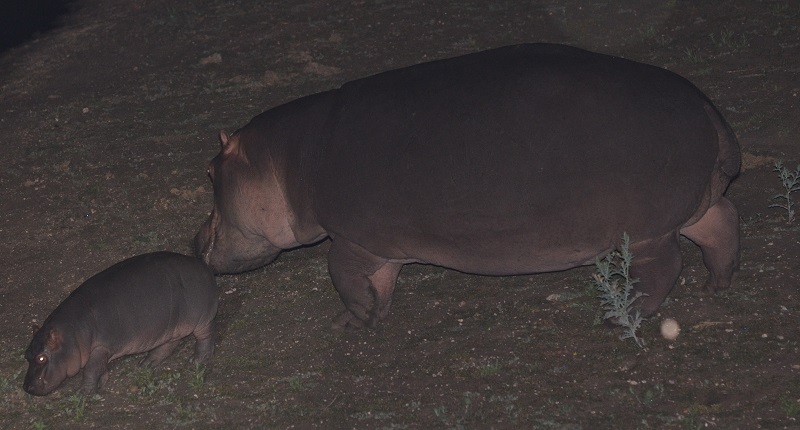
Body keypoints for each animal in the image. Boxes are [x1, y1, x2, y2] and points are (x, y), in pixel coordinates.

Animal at [23, 252, 217, 396]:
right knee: (169, 344)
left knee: (205, 337)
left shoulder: (101, 347)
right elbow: (100, 369)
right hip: (172, 326)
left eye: (42, 358)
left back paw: (196, 360)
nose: (27, 388)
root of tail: (203, 265)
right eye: (26, 354)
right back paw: (146, 364)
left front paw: (83, 392)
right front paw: (102, 382)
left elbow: (90, 370)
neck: (71, 333)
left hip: (200, 320)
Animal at [194, 42, 736, 330]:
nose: (195, 240)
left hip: (646, 232)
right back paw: (718, 285)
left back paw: (620, 316)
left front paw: (352, 322)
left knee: (665, 267)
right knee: (722, 227)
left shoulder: (350, 238)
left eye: (210, 172)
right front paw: (372, 316)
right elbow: (382, 283)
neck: (290, 158)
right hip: (692, 207)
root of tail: (707, 110)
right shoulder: (383, 245)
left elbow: (344, 278)